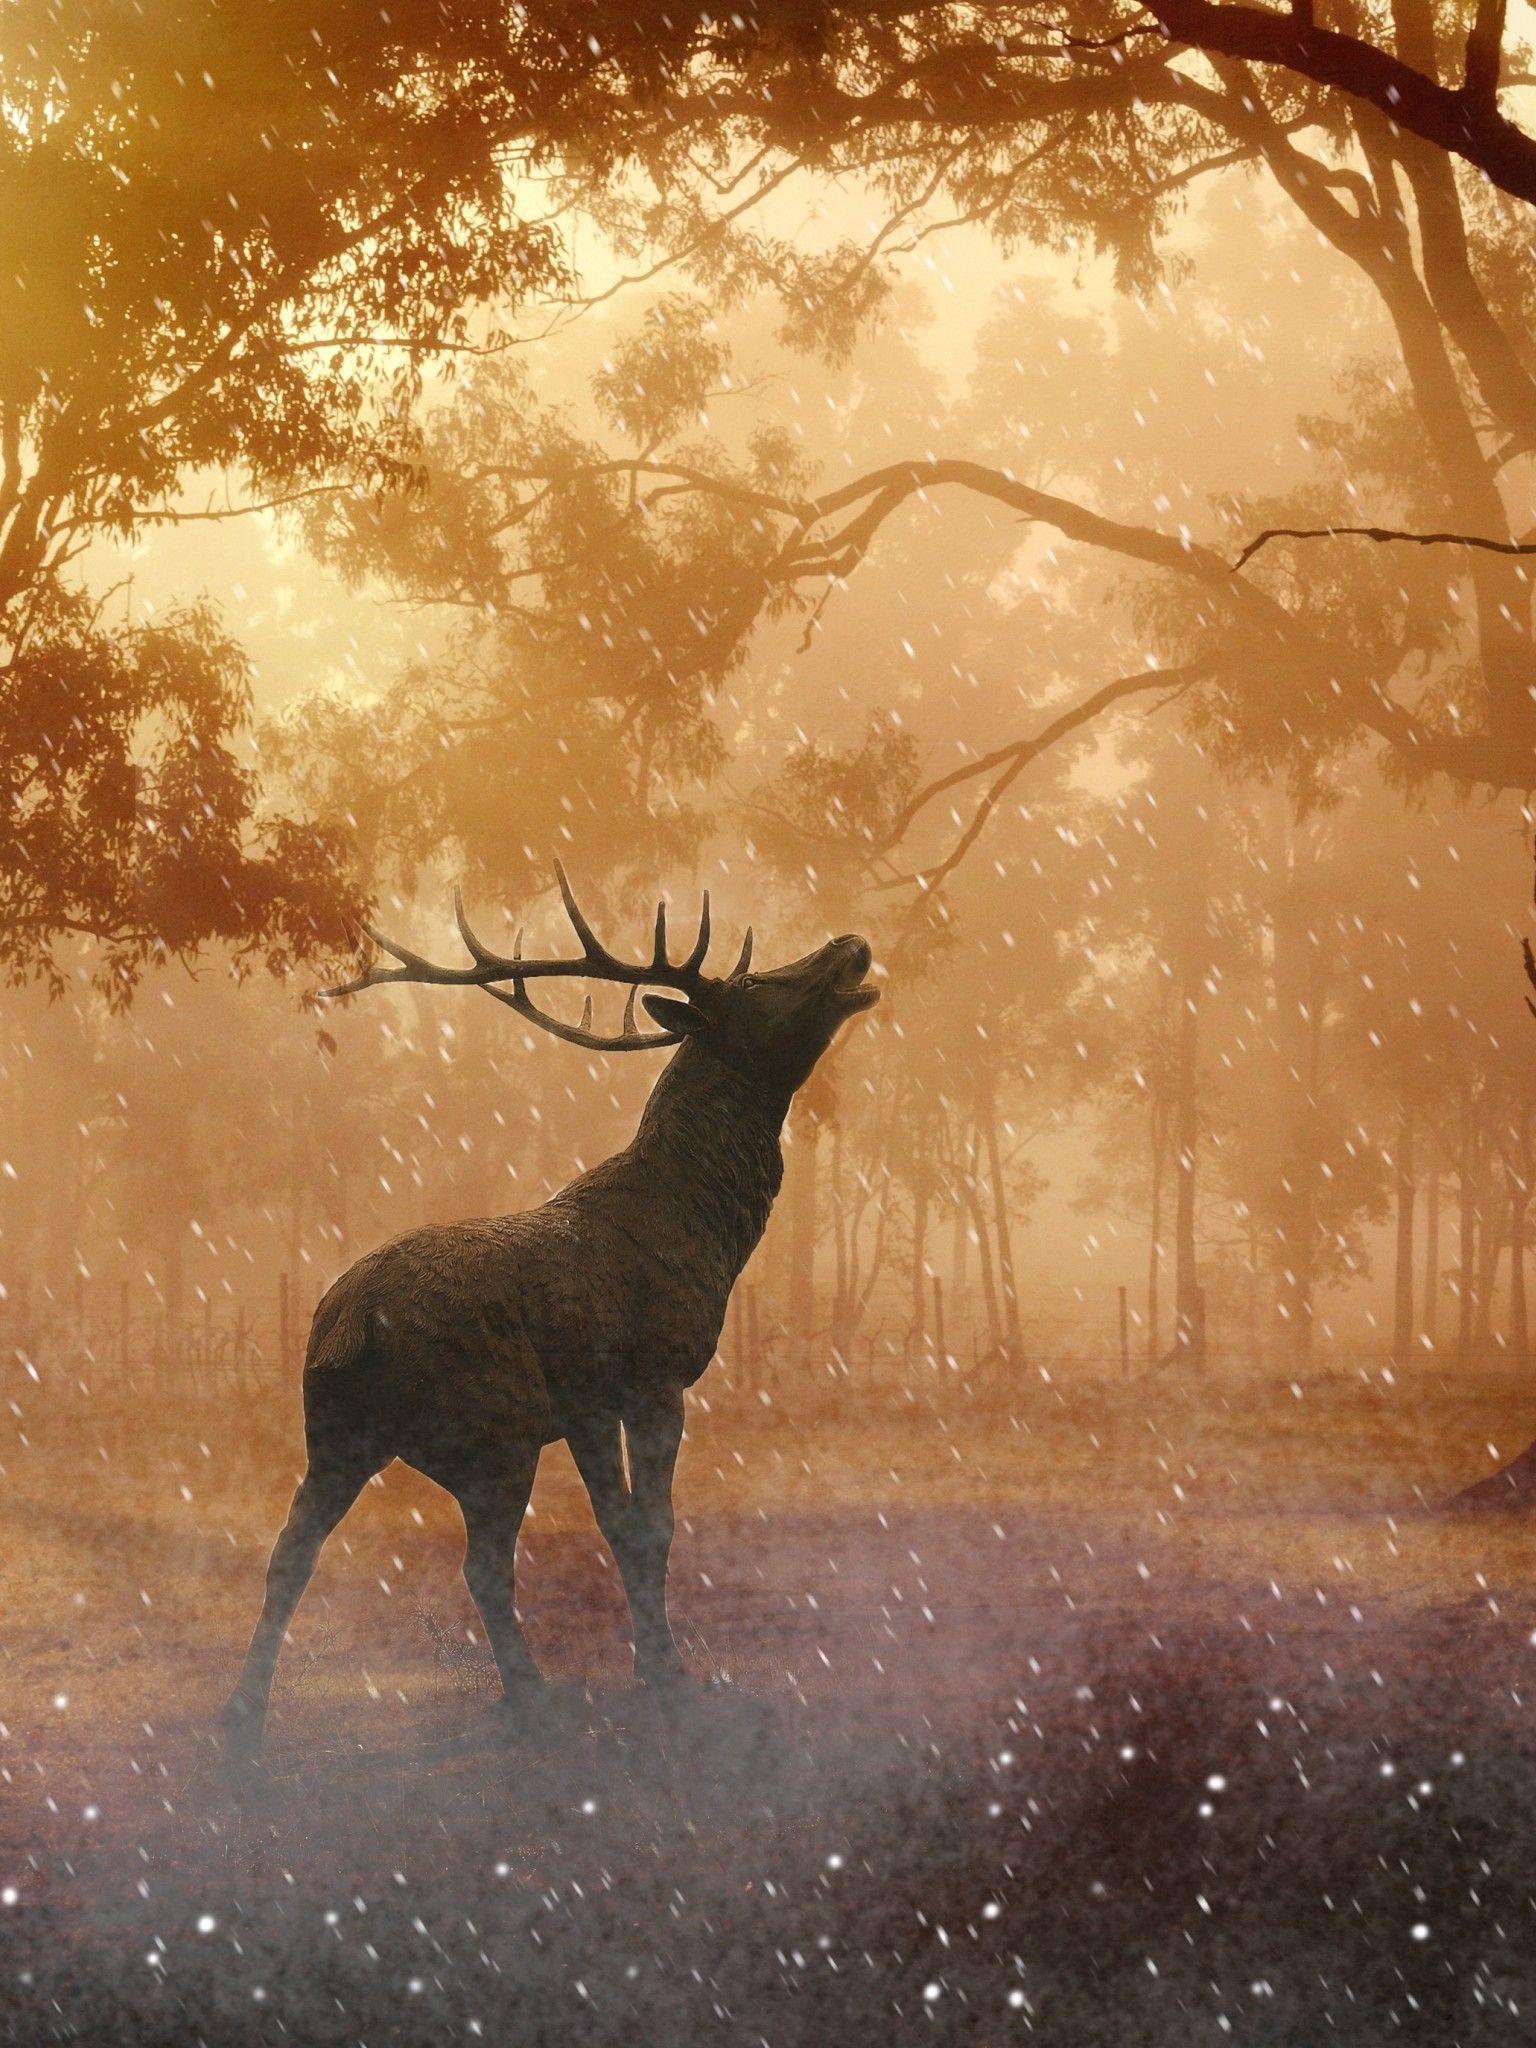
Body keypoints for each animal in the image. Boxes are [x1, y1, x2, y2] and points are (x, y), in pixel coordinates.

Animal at [221, 868, 880, 1761]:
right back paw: (534, 1696)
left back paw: (244, 1717)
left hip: (335, 1434)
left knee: (291, 1552)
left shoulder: (585, 1405)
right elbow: (652, 1527)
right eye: (755, 985)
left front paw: (649, 1666)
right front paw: (673, 1680)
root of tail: (344, 1328)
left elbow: (620, 1525)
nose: (853, 942)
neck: (708, 1227)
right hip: (492, 1430)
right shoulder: (650, 1374)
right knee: (482, 1566)